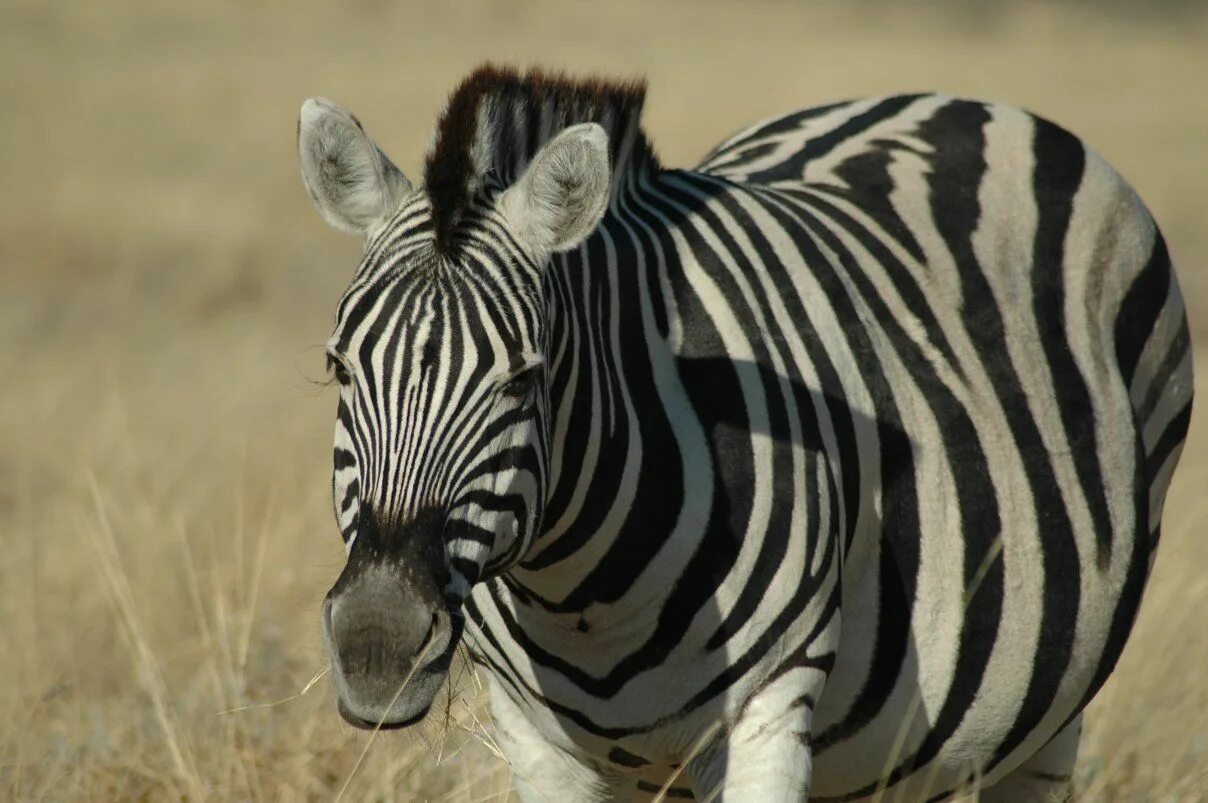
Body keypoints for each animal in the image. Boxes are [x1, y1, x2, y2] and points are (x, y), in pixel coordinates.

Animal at [292, 65, 1188, 796]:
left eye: (523, 377)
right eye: (340, 367)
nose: (376, 647)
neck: (581, 596)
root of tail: (960, 101)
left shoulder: (768, 714)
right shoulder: (538, 743)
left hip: (1050, 717)